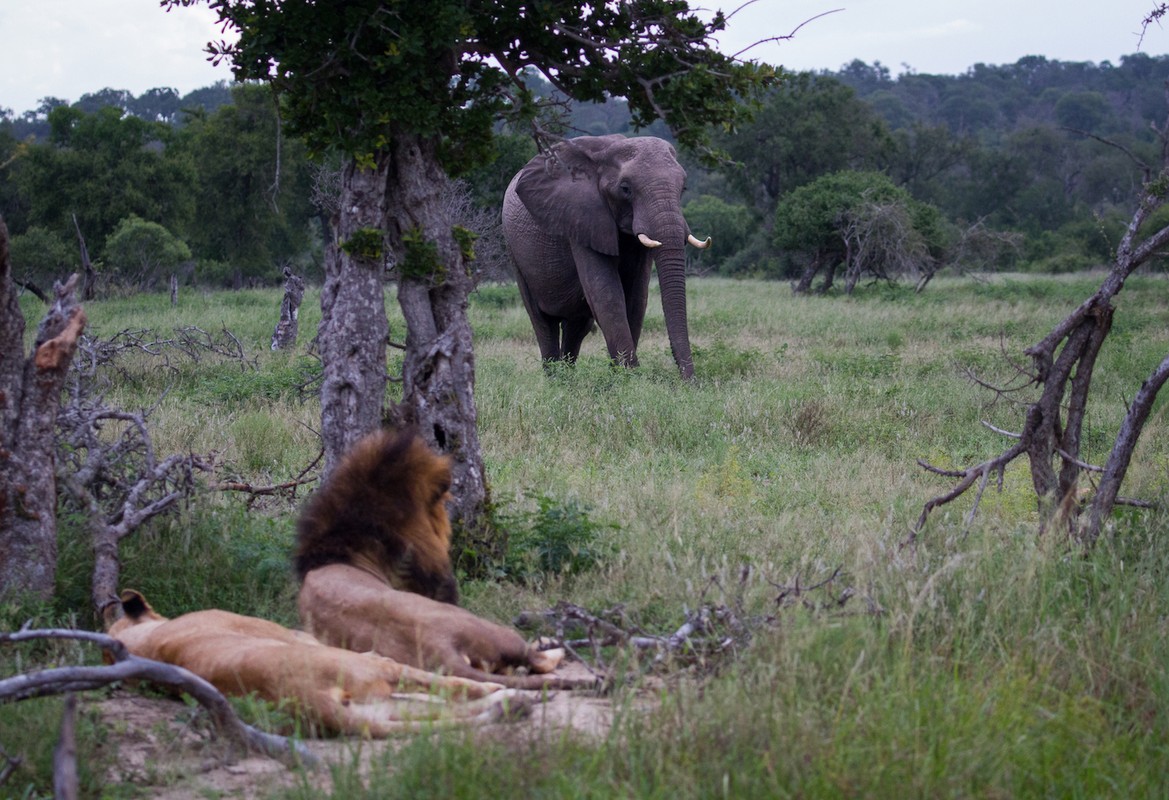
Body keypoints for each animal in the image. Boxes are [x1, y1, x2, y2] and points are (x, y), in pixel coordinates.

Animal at [107, 589, 528, 734]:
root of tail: (308, 700)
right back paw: (505, 695)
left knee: (440, 715)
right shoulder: (294, 634)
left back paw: (508, 707)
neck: (148, 643)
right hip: (378, 665)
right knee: (453, 688)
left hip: (376, 708)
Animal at [500, 133, 706, 378]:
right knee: (543, 322)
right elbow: (607, 294)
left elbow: (636, 298)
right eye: (625, 188)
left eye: (683, 188)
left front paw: (622, 376)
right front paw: (631, 377)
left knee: (577, 325)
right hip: (514, 250)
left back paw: (567, 379)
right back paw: (555, 379)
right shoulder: (581, 216)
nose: (690, 381)